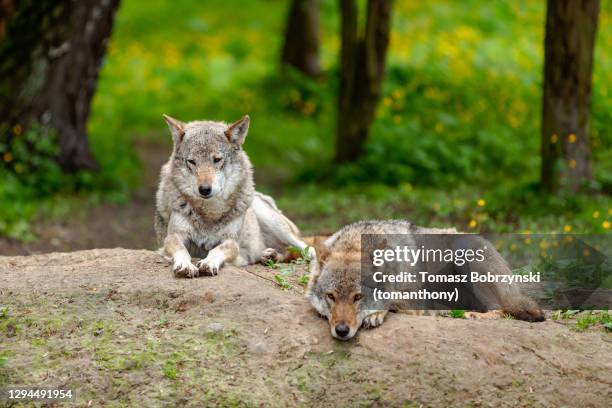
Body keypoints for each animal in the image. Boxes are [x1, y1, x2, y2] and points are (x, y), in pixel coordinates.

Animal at [155, 114, 314, 278]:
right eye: (192, 161)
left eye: (217, 159)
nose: (204, 189)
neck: (210, 212)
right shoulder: (173, 236)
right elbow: (182, 250)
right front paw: (185, 265)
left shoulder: (231, 240)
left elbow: (217, 249)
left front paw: (208, 263)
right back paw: (270, 255)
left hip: (274, 222)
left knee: (308, 249)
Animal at [306, 222, 544, 340]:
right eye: (330, 296)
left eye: (358, 297)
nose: (342, 330)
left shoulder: (416, 297)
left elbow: (391, 301)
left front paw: (375, 314)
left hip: (464, 251)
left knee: (500, 310)